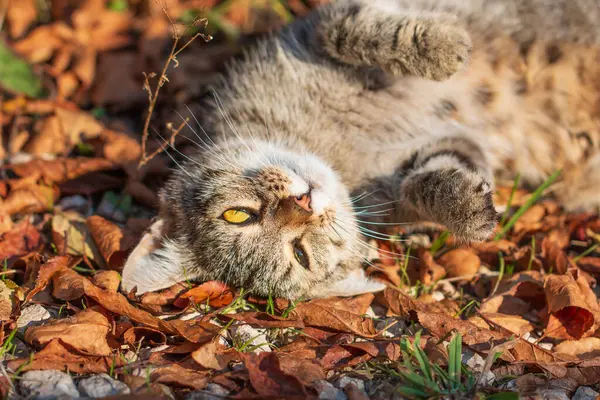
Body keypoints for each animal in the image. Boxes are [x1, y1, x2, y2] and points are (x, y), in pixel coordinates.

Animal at [120, 0, 600, 300]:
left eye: (238, 214)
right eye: (300, 254)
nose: (303, 203)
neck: (335, 145)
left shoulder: (313, 28)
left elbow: (352, 31)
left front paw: (441, 48)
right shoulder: (447, 149)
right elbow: (427, 182)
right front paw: (468, 210)